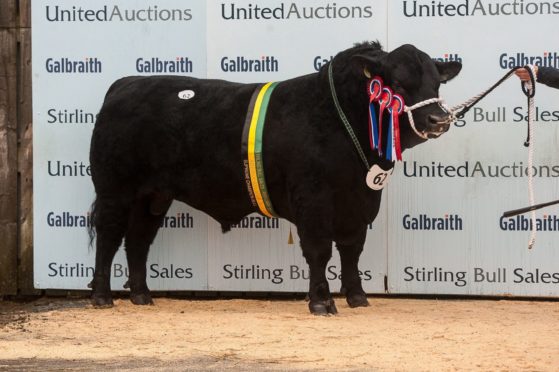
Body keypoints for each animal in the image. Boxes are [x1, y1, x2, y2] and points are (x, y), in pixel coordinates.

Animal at [89, 41, 462, 314]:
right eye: (396, 84)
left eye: (436, 83)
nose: (439, 120)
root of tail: (127, 83)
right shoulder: (313, 198)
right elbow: (320, 250)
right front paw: (321, 301)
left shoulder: (360, 200)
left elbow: (351, 249)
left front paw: (357, 297)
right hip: (114, 189)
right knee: (109, 236)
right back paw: (102, 296)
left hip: (153, 196)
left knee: (138, 239)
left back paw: (141, 295)